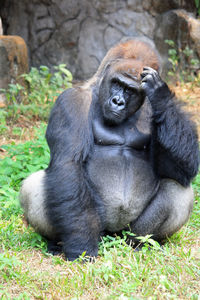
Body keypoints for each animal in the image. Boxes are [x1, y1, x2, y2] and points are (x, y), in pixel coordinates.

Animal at [19, 39, 199, 260]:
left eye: (130, 90)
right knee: (35, 185)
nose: (118, 102)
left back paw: (142, 243)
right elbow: (69, 164)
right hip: (99, 231)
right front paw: (81, 246)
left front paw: (161, 94)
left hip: (126, 232)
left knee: (178, 189)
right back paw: (56, 243)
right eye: (117, 83)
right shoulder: (71, 102)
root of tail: (111, 236)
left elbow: (179, 170)